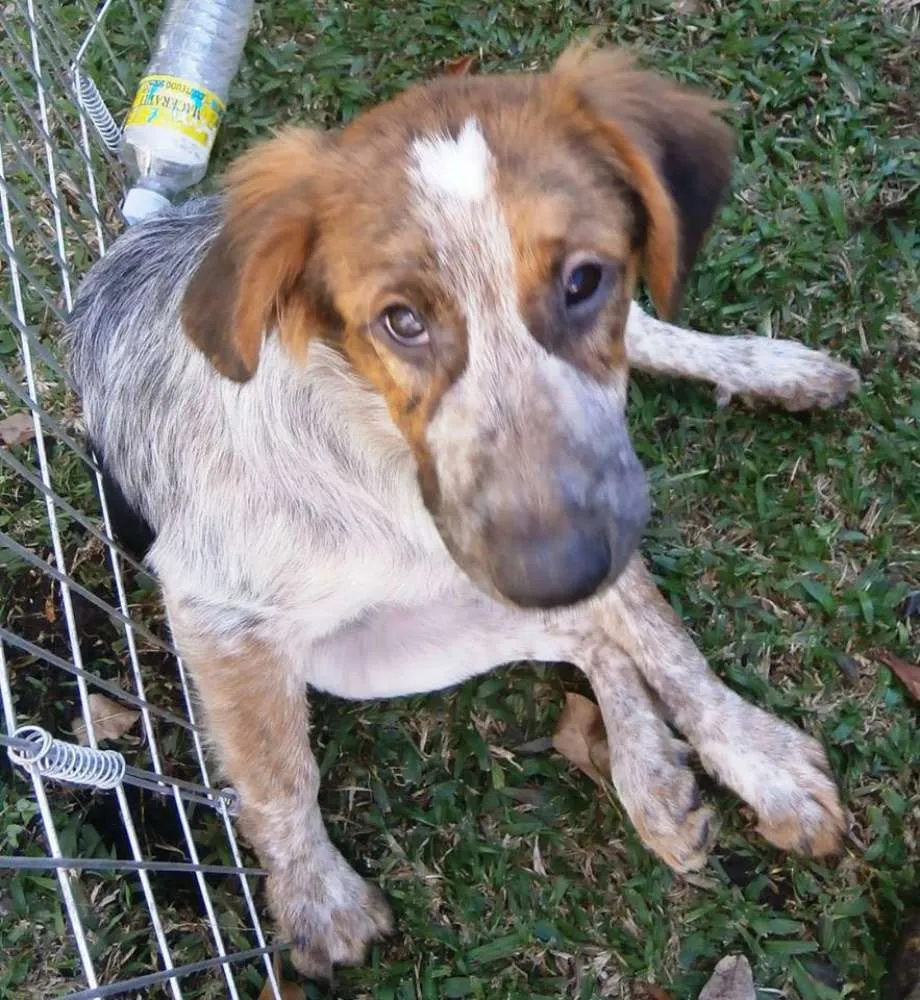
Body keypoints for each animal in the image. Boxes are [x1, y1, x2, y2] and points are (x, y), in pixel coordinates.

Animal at [67, 44, 860, 977]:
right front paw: (317, 897)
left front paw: (756, 755)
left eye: (584, 279)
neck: (384, 457)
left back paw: (774, 371)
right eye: (400, 321)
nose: (558, 567)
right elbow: (276, 775)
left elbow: (665, 639)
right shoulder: (215, 611)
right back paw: (649, 770)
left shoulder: (600, 501)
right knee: (575, 635)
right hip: (364, 655)